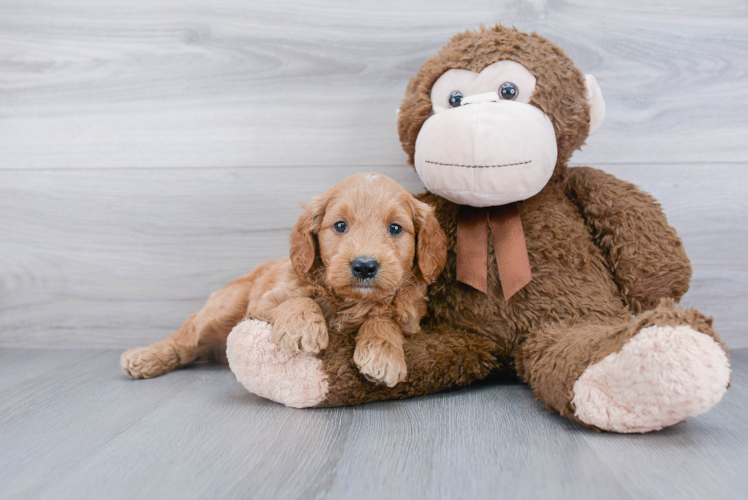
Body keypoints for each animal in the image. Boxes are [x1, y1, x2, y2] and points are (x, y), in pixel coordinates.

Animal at [122, 174, 448, 388]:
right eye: (340, 226)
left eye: (395, 229)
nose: (365, 266)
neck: (351, 301)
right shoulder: (265, 302)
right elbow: (299, 297)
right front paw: (302, 328)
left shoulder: (410, 320)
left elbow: (384, 320)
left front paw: (382, 354)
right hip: (223, 310)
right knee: (185, 339)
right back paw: (144, 358)